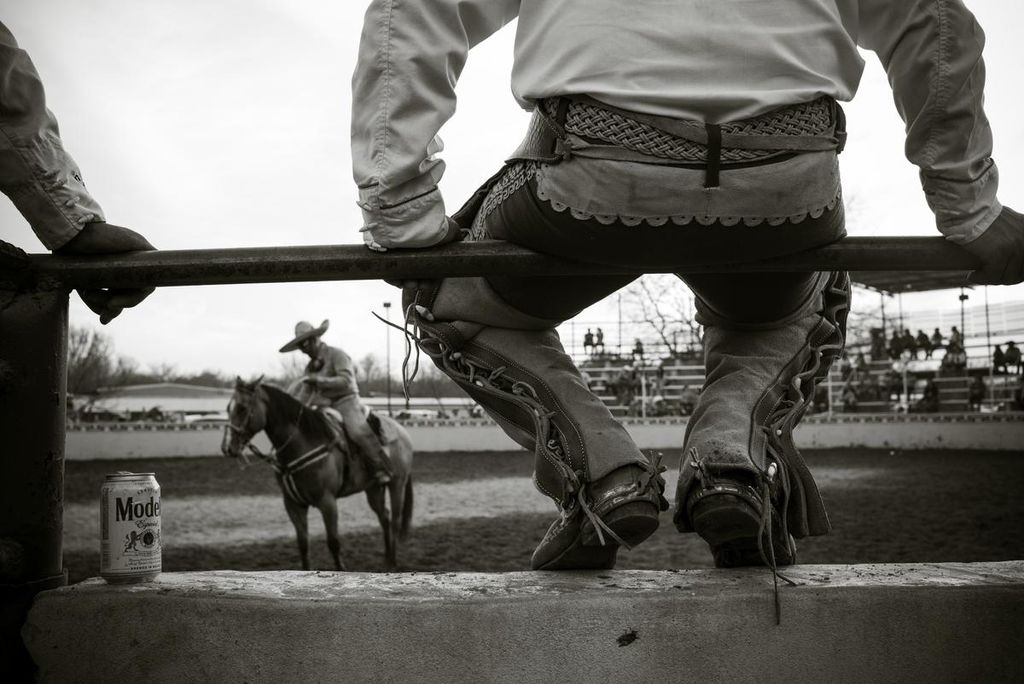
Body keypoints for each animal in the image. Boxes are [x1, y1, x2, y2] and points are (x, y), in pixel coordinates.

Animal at [222, 378, 413, 573]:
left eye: (242, 408)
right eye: (228, 408)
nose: (228, 447)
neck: (304, 443)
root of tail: (401, 431)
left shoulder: (327, 501)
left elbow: (333, 542)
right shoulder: (293, 504)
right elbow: (303, 544)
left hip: (397, 484)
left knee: (395, 520)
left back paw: (393, 562)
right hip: (373, 489)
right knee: (385, 518)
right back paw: (386, 560)